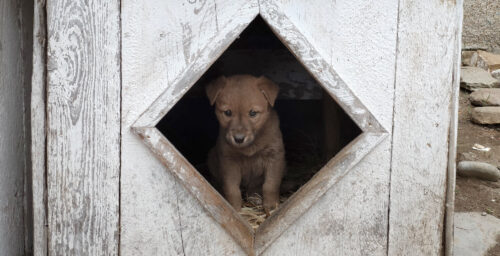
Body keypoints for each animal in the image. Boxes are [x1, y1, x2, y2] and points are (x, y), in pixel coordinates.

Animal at [206, 75, 286, 212]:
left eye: (253, 113)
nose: (239, 139)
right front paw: (234, 207)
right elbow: (232, 188)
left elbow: (270, 185)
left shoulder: (275, 156)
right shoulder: (228, 161)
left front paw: (271, 206)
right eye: (227, 112)